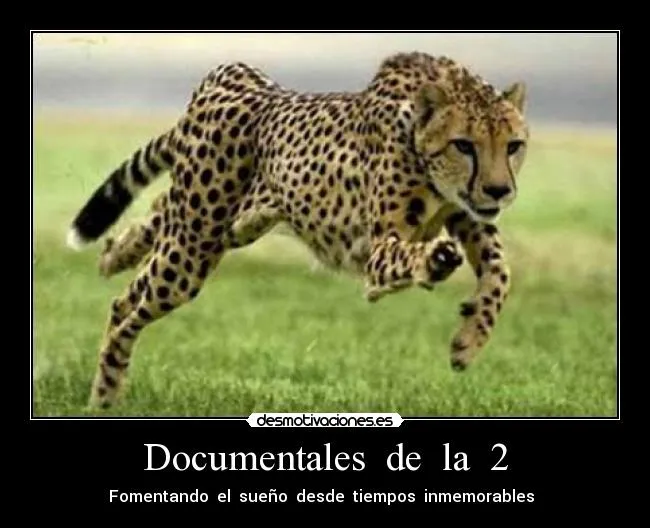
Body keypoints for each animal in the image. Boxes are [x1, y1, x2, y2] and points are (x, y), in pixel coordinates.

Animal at [65, 51, 529, 409]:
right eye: (463, 145)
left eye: (514, 146)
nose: (499, 190)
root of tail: (232, 76)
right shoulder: (380, 251)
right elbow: (409, 257)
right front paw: (436, 260)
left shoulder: (470, 217)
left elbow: (501, 273)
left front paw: (469, 340)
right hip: (191, 248)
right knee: (129, 310)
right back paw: (105, 391)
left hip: (223, 226)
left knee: (145, 249)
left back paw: (115, 254)